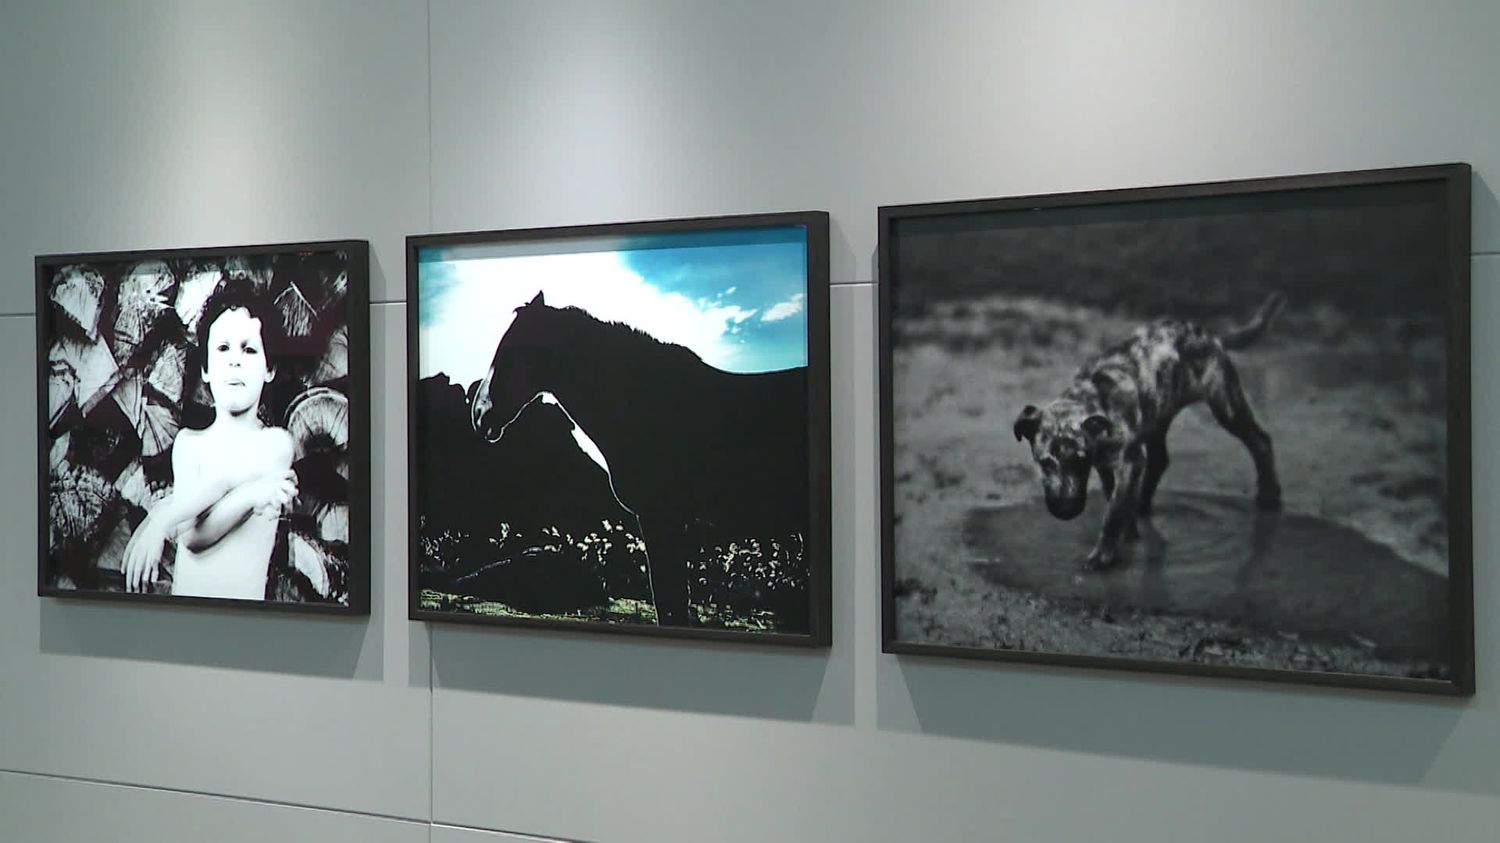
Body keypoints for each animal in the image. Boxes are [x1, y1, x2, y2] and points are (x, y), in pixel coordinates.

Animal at [1014, 291, 1284, 570]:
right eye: (1044, 463)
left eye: (1080, 461)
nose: (1065, 511)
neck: (1092, 395)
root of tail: (1211, 337)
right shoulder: (1106, 464)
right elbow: (1115, 497)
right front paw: (1127, 531)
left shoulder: (1128, 461)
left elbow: (1115, 511)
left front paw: (1105, 553)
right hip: (1157, 417)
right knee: (1160, 460)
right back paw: (1142, 504)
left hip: (1225, 405)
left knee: (1260, 440)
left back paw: (1269, 495)